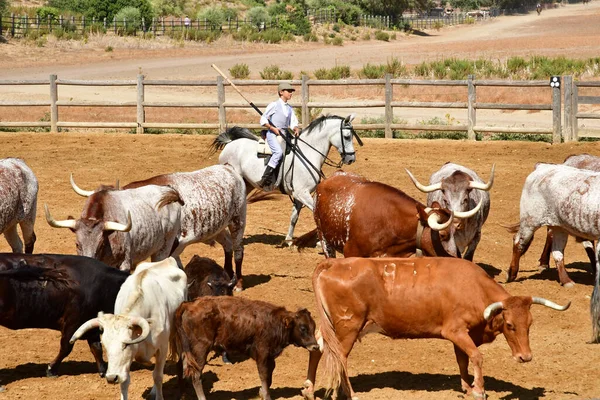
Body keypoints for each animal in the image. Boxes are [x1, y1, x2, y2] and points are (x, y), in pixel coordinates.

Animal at [71, 165, 248, 290]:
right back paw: (228, 275)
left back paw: (239, 282)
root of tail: (228, 168)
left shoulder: (174, 243)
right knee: (228, 245)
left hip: (238, 220)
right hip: (217, 230)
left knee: (238, 250)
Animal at [173, 296, 318, 400]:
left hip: (185, 350)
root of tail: (190, 304)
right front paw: (266, 395)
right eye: (303, 328)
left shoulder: (270, 356)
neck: (274, 322)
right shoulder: (262, 353)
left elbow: (270, 374)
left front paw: (261, 392)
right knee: (196, 375)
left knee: (181, 368)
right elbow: (264, 375)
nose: (315, 346)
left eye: (314, 327)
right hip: (200, 349)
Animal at [211, 112, 360, 244]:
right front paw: (320, 242)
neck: (306, 154)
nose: (351, 159)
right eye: (347, 136)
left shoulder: (299, 195)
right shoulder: (302, 193)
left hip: (247, 184)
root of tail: (230, 143)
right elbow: (317, 214)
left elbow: (294, 216)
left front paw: (288, 240)